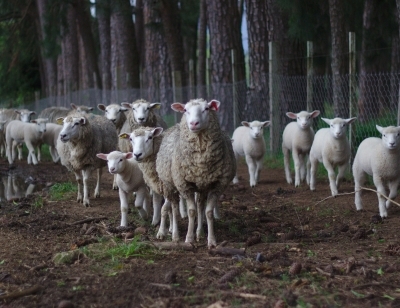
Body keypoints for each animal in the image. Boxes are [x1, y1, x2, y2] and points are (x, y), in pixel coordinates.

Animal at [157, 98, 238, 248]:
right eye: (185, 110)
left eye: (206, 109)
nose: (193, 123)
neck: (201, 163)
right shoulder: (184, 185)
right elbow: (191, 211)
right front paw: (189, 239)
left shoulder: (217, 185)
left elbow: (208, 212)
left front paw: (211, 240)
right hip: (170, 184)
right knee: (174, 208)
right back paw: (175, 235)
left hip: (202, 187)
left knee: (200, 205)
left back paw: (199, 233)